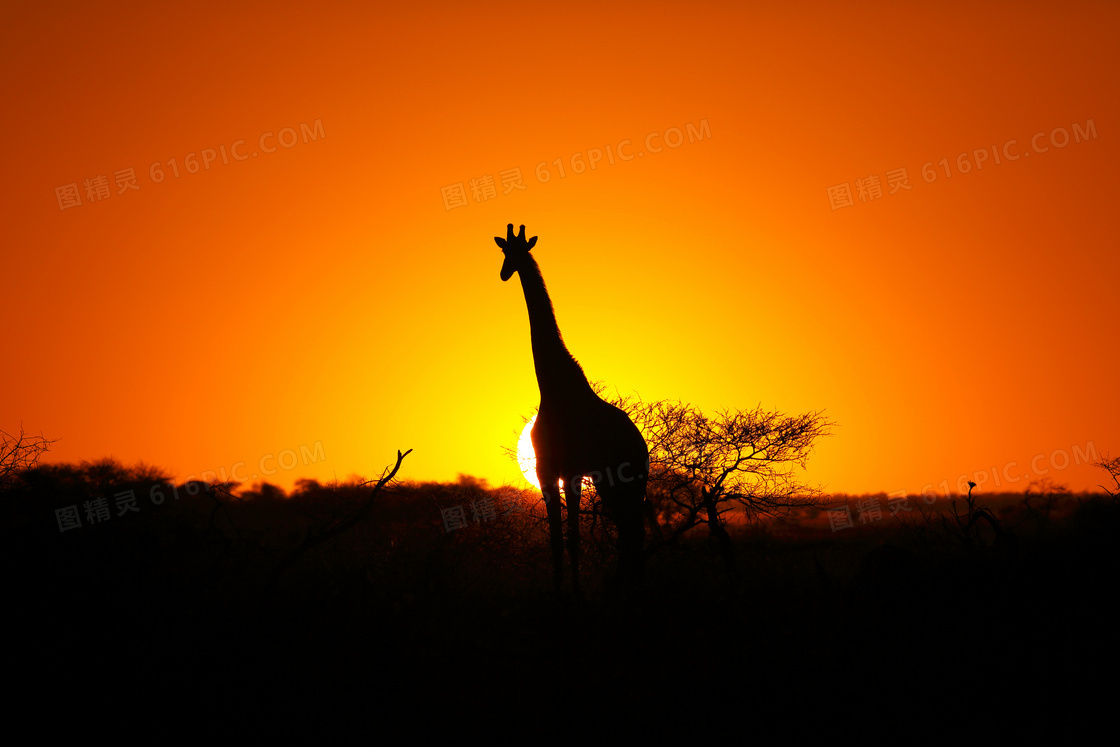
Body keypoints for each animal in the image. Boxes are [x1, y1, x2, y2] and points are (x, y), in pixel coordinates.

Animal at [492, 221, 649, 595]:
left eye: (517, 251)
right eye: (504, 250)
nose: (504, 273)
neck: (553, 387)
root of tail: (644, 448)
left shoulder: (560, 470)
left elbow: (568, 538)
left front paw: (570, 592)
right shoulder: (559, 471)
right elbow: (563, 538)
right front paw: (565, 589)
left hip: (625, 480)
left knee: (633, 531)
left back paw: (627, 588)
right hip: (611, 482)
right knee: (630, 531)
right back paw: (625, 586)